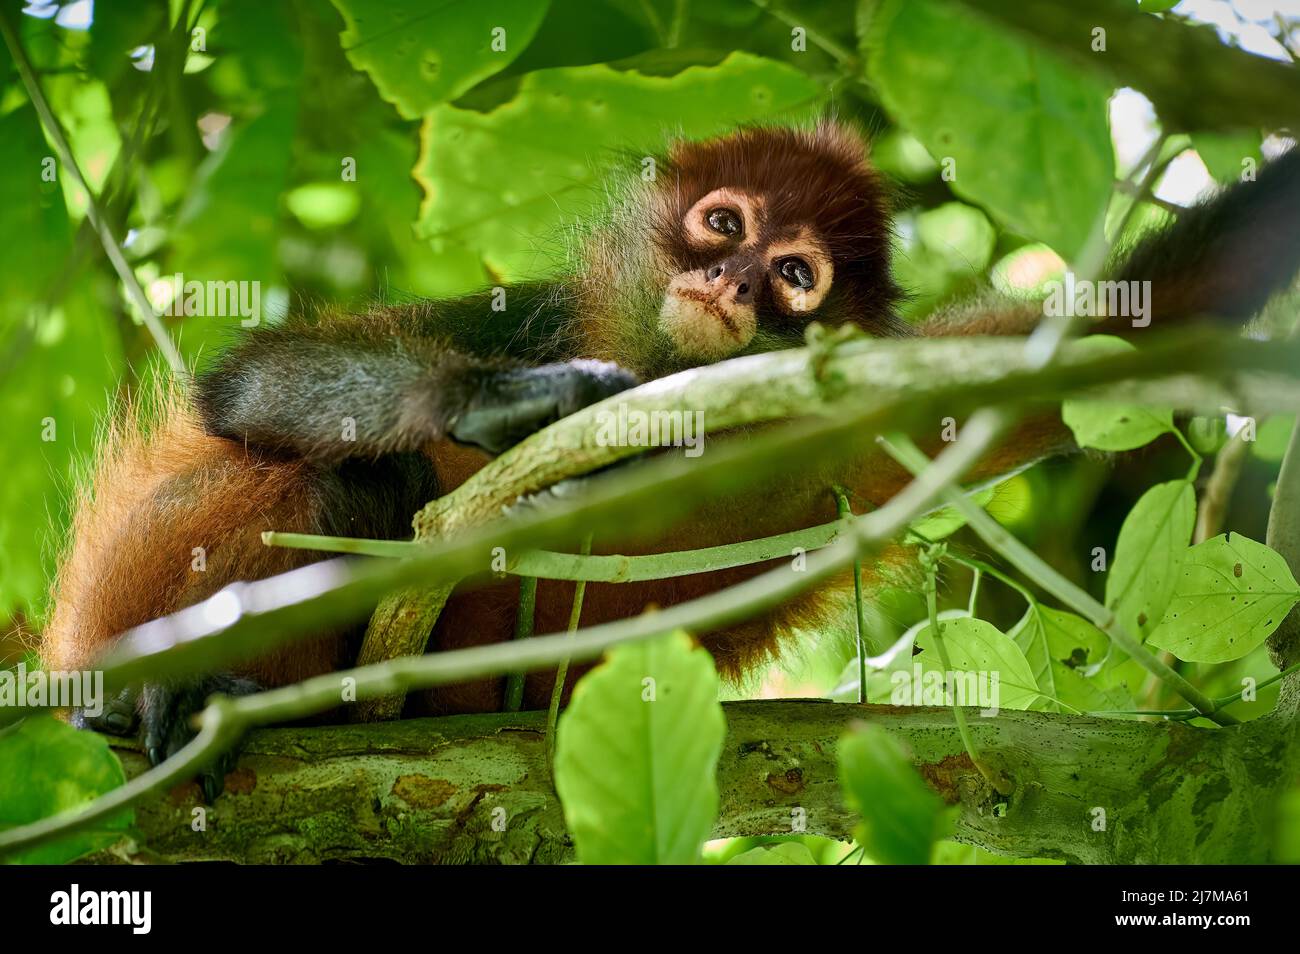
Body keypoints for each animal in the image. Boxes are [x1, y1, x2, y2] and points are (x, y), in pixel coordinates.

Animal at [40, 119, 1300, 790]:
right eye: (723, 224)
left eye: (792, 274)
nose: (729, 284)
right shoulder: (544, 312)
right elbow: (248, 383)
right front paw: (501, 404)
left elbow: (1145, 317)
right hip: (143, 565)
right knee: (360, 472)